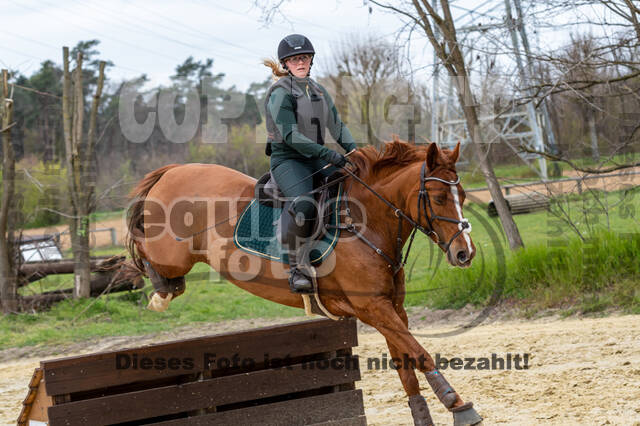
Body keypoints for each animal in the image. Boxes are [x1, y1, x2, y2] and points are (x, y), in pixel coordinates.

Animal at [126, 141, 480, 426]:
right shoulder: (373, 308)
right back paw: (153, 289)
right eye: (438, 198)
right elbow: (420, 353)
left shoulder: (391, 308)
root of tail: (174, 170)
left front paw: (425, 413)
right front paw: (458, 405)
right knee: (142, 249)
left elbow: (406, 364)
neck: (364, 224)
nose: (465, 253)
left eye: (462, 195)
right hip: (172, 254)